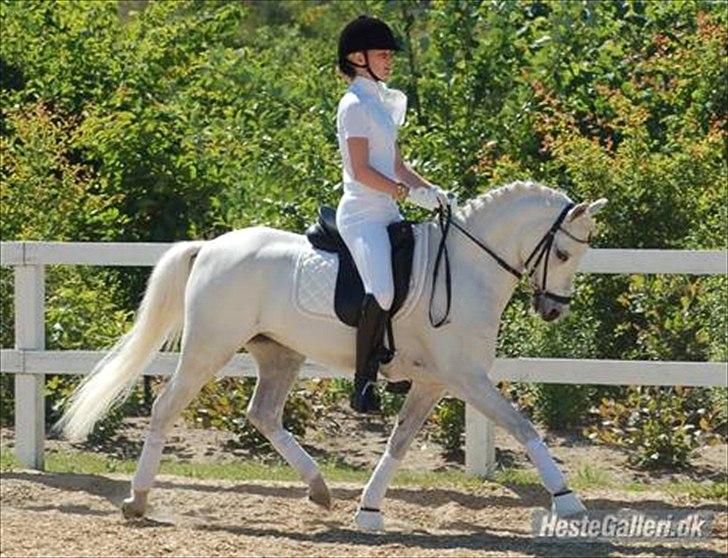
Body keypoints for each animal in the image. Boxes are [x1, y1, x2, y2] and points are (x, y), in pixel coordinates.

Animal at [57, 180, 607, 531]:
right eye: (562, 254)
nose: (553, 310)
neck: (466, 266)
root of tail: (211, 246)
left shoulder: (435, 381)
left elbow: (399, 443)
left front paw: (368, 511)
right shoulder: (465, 376)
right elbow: (522, 426)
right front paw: (567, 500)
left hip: (279, 354)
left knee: (263, 414)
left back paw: (319, 489)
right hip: (207, 349)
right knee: (166, 407)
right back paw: (138, 500)